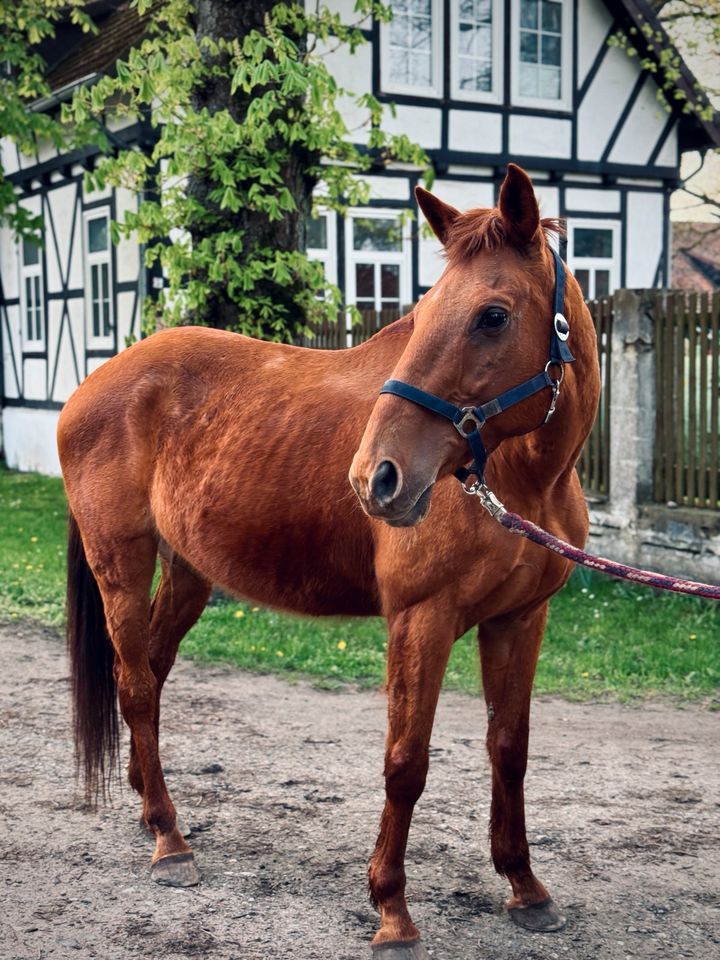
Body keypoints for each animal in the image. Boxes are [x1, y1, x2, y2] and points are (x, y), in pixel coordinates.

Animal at [56, 167, 600, 960]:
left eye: (492, 316)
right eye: (421, 314)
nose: (378, 477)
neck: (523, 478)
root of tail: (92, 386)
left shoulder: (520, 620)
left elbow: (510, 750)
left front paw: (525, 888)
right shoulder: (421, 622)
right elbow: (406, 763)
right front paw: (392, 911)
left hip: (188, 574)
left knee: (150, 678)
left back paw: (150, 811)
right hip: (120, 567)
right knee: (134, 688)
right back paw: (171, 844)